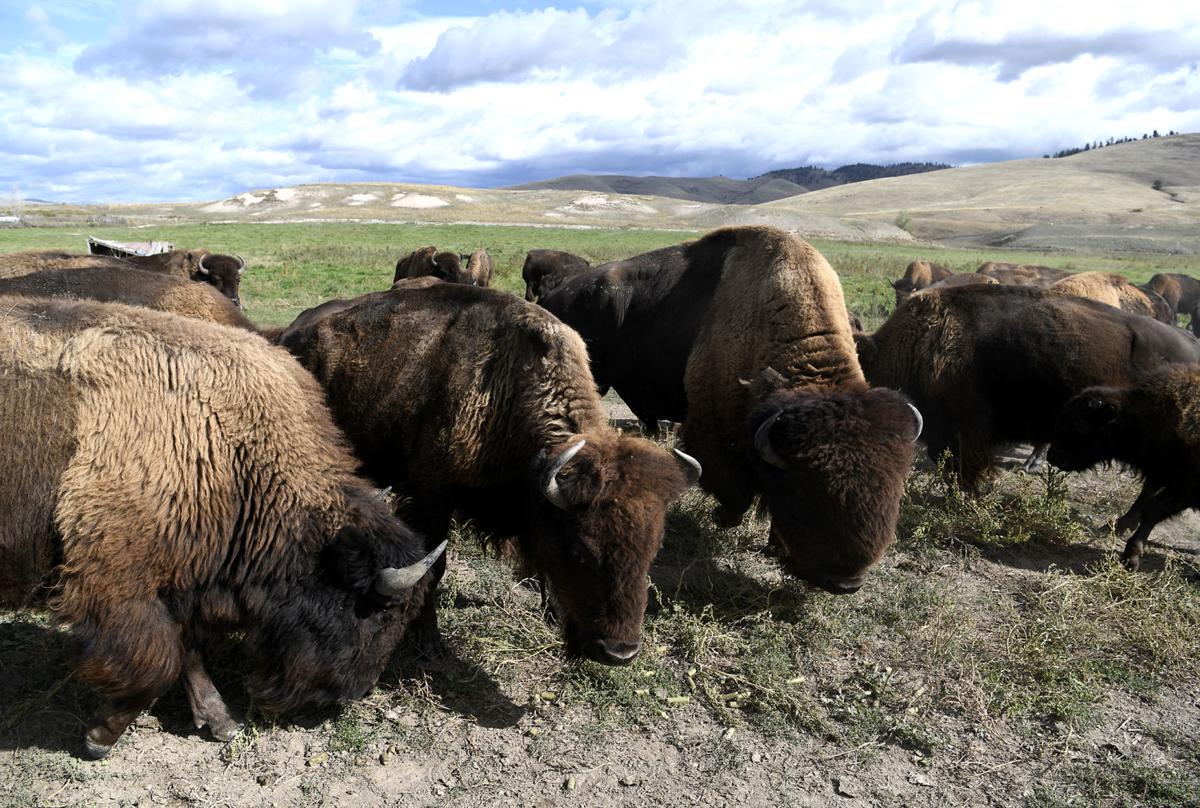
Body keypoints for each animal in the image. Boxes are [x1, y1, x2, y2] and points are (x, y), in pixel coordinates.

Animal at [0, 297, 442, 758]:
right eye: (381, 615)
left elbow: (187, 649)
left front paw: (221, 721)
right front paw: (100, 737)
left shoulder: (183, 579)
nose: (354, 692)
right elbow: (156, 662)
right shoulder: (117, 583)